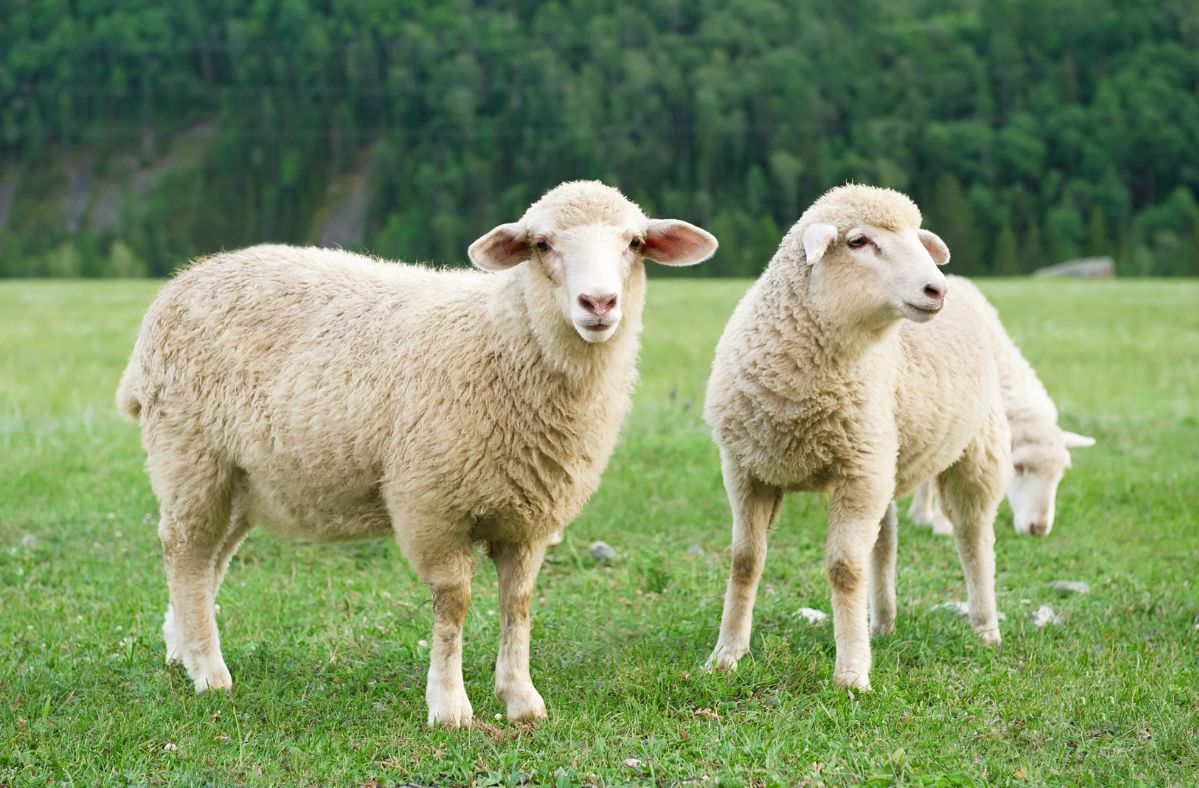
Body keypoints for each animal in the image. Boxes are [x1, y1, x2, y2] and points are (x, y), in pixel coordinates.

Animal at [119, 181, 719, 729]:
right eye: (543, 243)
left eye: (635, 242)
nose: (598, 304)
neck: (503, 342)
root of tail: (182, 281)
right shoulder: (433, 504)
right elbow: (453, 604)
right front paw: (449, 706)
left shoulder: (529, 517)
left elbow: (518, 603)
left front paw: (520, 699)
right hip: (190, 455)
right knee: (185, 551)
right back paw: (208, 671)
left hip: (244, 479)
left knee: (210, 560)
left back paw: (182, 647)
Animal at [700, 184, 1011, 690]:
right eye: (859, 242)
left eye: (917, 239)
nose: (935, 290)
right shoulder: (746, 470)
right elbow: (744, 561)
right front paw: (727, 654)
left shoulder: (857, 471)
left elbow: (844, 569)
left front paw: (851, 672)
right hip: (886, 456)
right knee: (885, 540)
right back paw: (880, 623)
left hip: (974, 449)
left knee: (974, 537)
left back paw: (985, 628)